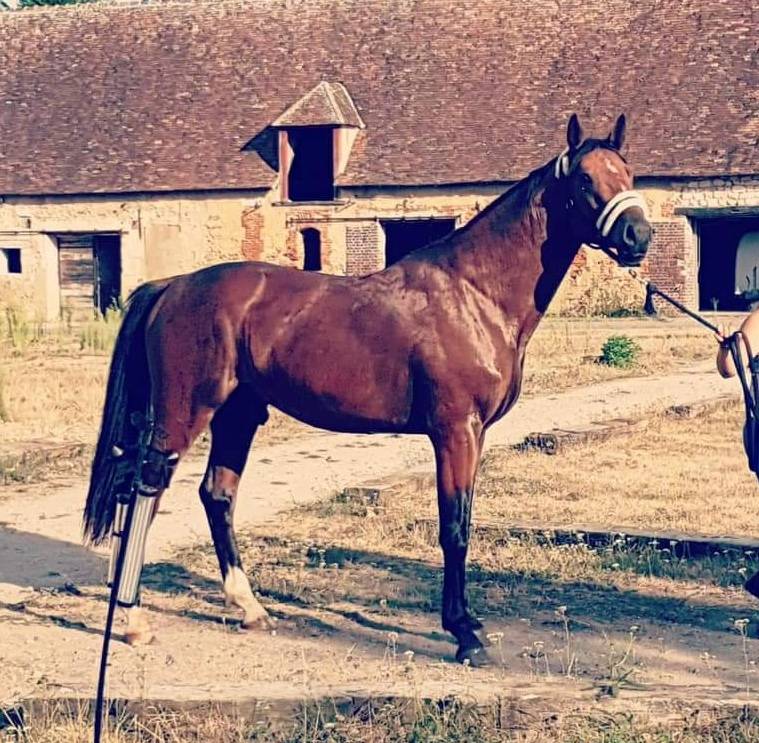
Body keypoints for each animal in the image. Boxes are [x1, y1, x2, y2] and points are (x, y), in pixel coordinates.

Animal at [83, 113, 651, 665]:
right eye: (585, 179)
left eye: (628, 174)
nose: (637, 236)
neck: (475, 294)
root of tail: (172, 286)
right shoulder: (455, 431)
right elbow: (454, 528)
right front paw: (464, 634)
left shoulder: (476, 435)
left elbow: (464, 520)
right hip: (183, 414)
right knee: (143, 494)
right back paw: (132, 621)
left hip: (238, 414)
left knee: (216, 494)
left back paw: (249, 609)